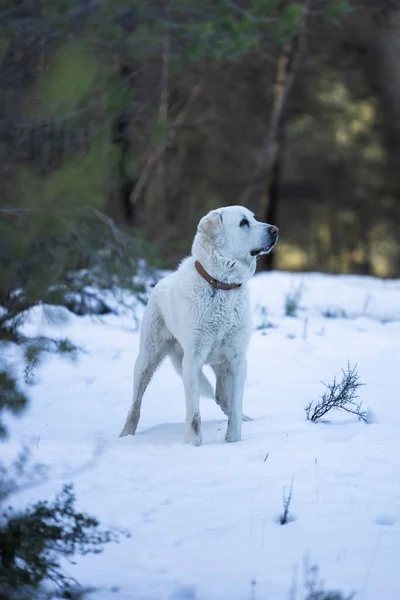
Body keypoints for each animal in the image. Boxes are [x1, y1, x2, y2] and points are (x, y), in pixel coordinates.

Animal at [120, 206, 280, 446]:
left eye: (254, 218)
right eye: (243, 223)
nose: (275, 230)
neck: (222, 286)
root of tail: (161, 281)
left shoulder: (238, 359)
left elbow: (235, 405)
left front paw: (234, 440)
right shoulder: (192, 360)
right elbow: (194, 413)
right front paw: (193, 444)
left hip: (221, 365)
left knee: (222, 398)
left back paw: (246, 418)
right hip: (147, 358)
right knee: (135, 404)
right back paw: (126, 434)